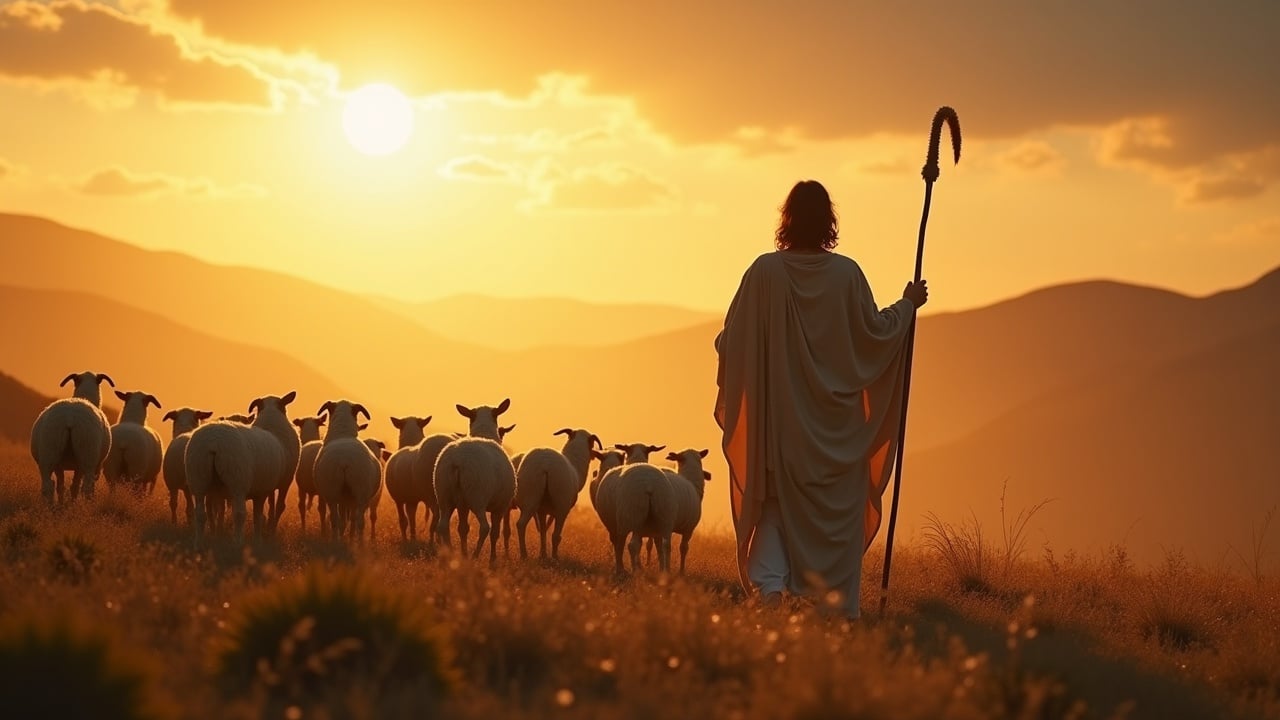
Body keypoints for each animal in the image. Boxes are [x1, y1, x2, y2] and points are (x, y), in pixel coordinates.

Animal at [31, 371, 115, 502]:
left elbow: (61, 486)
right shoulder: (81, 467)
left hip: (49, 452)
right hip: (87, 454)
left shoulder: (59, 466)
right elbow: (74, 486)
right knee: (87, 487)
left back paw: (50, 505)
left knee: (48, 485)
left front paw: (62, 503)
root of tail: (69, 418)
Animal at [313, 397, 381, 543]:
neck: (343, 432)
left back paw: (337, 542)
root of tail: (345, 460)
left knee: (336, 519)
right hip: (359, 493)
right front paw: (349, 538)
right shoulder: (349, 499)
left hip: (333, 492)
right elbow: (350, 520)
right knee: (358, 521)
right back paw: (358, 545)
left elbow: (344, 520)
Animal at [435, 397, 514, 561]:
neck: (484, 433)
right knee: (485, 527)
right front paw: (492, 560)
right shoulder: (501, 506)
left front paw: (463, 553)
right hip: (477, 496)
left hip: (444, 495)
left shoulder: (462, 504)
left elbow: (463, 529)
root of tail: (457, 461)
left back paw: (451, 554)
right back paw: (474, 557)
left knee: (443, 526)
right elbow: (495, 533)